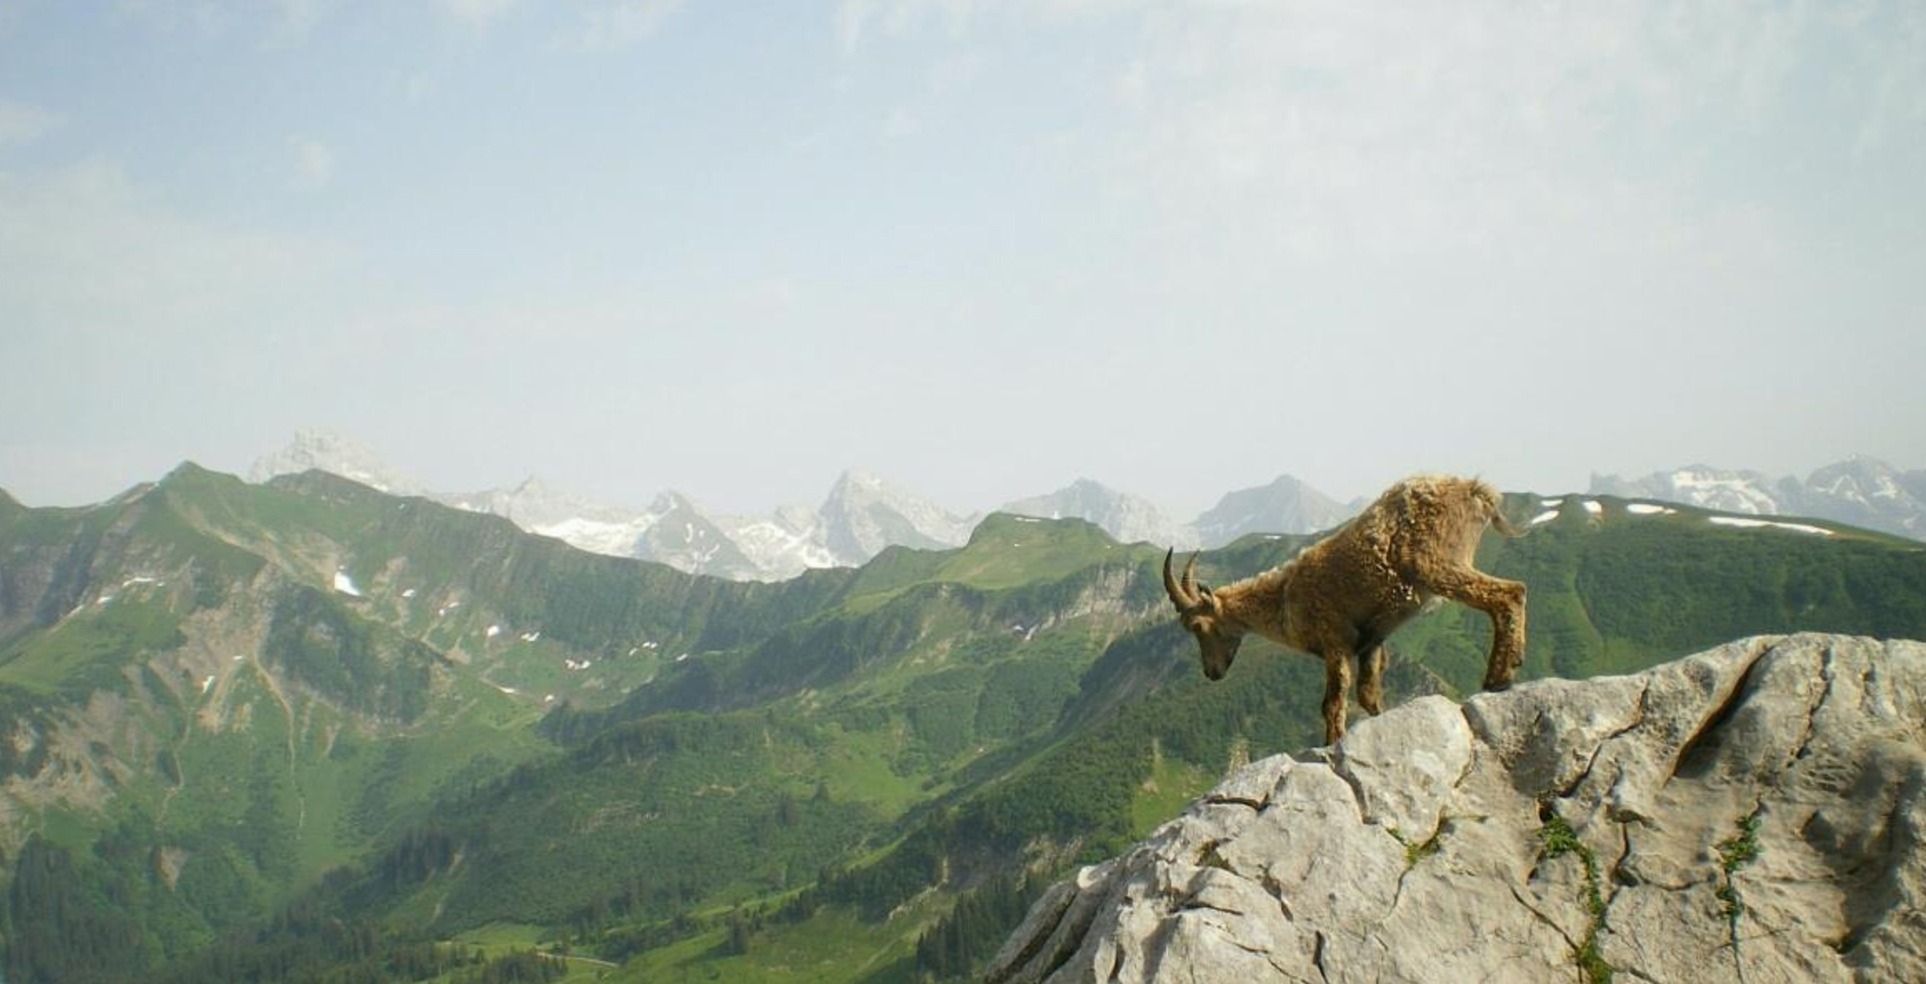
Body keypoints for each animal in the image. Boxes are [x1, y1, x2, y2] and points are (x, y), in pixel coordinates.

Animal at [1163, 474, 1526, 744]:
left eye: (1199, 627)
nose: (1211, 673)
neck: (1284, 597)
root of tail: (1477, 491)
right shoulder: (1371, 642)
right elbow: (1368, 696)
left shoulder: (1334, 641)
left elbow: (1332, 702)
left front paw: (1331, 743)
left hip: (1438, 563)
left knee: (1509, 593)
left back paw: (1499, 677)